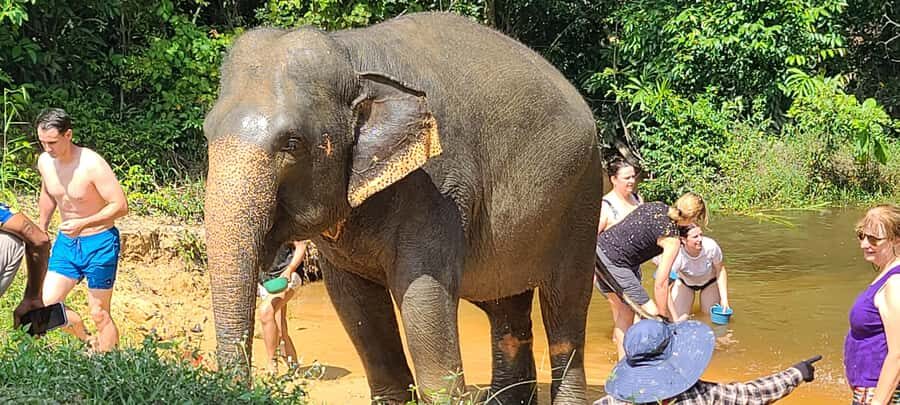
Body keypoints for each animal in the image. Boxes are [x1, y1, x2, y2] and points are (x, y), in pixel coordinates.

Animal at [203, 12, 602, 404]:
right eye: (207, 133)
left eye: (292, 143)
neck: (351, 55)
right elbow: (356, 308)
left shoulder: (438, 188)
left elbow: (425, 303)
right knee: (507, 312)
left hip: (582, 198)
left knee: (565, 313)